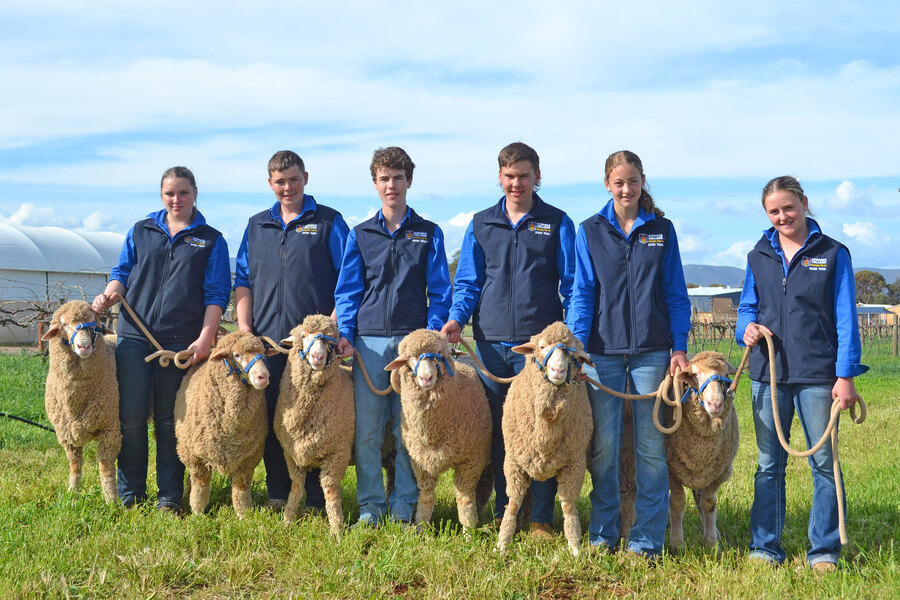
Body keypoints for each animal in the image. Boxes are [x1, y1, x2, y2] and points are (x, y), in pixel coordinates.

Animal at [42, 300, 120, 502]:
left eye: (95, 324)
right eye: (64, 324)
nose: (83, 346)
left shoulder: (110, 430)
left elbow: (106, 468)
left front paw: (111, 502)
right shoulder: (66, 435)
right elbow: (75, 467)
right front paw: (72, 497)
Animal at [175, 330, 270, 516]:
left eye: (262, 354)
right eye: (237, 355)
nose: (263, 377)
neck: (229, 428)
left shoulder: (249, 457)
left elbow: (241, 489)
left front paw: (244, 515)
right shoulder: (196, 455)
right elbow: (201, 485)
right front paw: (198, 513)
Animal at [272, 314, 354, 536]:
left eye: (331, 340)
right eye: (303, 335)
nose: (317, 357)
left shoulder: (338, 454)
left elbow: (331, 492)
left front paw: (336, 531)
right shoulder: (291, 454)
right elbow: (296, 488)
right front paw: (287, 521)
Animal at [382, 328, 488, 528]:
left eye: (439, 353)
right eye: (411, 357)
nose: (426, 378)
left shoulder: (471, 460)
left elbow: (464, 499)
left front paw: (469, 531)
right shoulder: (420, 462)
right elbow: (426, 498)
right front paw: (421, 528)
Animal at [496, 322, 596, 556]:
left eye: (572, 352)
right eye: (542, 346)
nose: (558, 371)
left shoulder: (574, 464)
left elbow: (568, 505)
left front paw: (575, 548)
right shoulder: (513, 461)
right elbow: (512, 503)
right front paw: (502, 545)